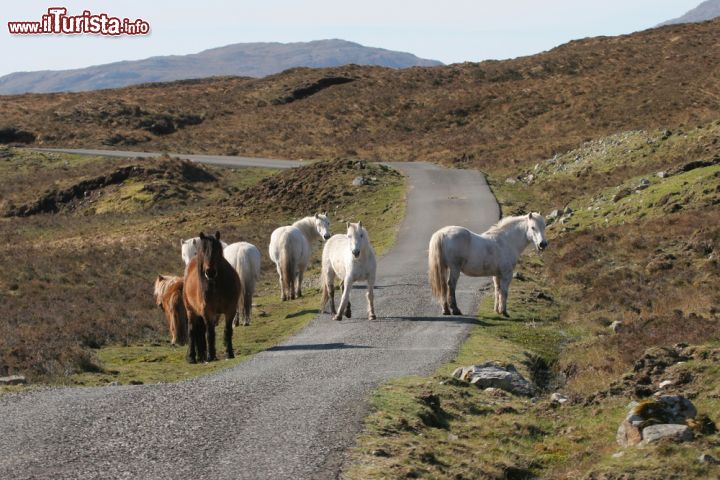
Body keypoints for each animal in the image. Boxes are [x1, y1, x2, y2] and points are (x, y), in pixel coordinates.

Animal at [183, 231, 242, 362]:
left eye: (217, 251)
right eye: (203, 251)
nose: (210, 272)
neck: (216, 285)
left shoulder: (230, 310)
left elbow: (227, 331)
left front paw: (229, 353)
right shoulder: (207, 312)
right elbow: (209, 333)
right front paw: (210, 356)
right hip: (190, 311)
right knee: (191, 331)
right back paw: (192, 357)